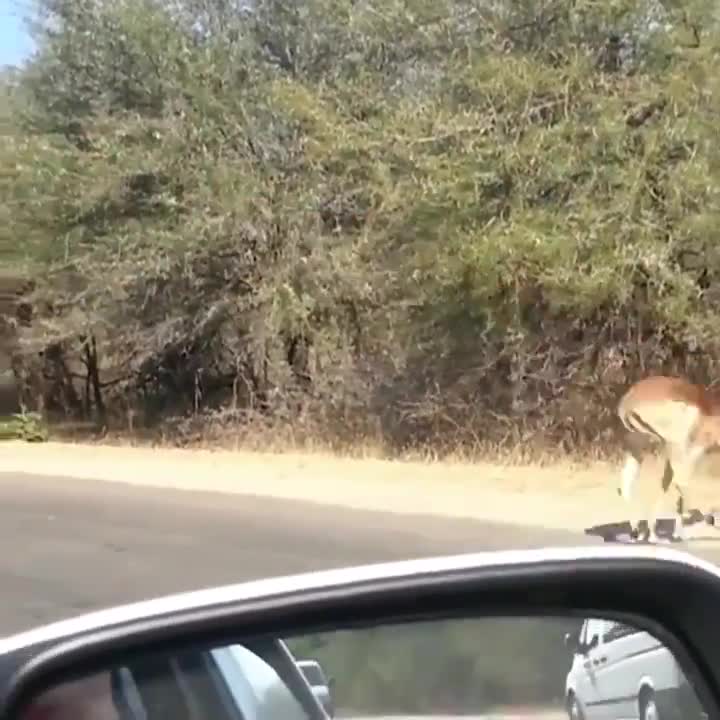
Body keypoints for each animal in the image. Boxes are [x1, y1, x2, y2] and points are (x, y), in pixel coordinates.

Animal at [617, 374, 720, 542]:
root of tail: (628, 401)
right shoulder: (694, 451)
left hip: (637, 449)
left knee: (627, 484)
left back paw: (639, 534)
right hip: (675, 445)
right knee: (680, 482)